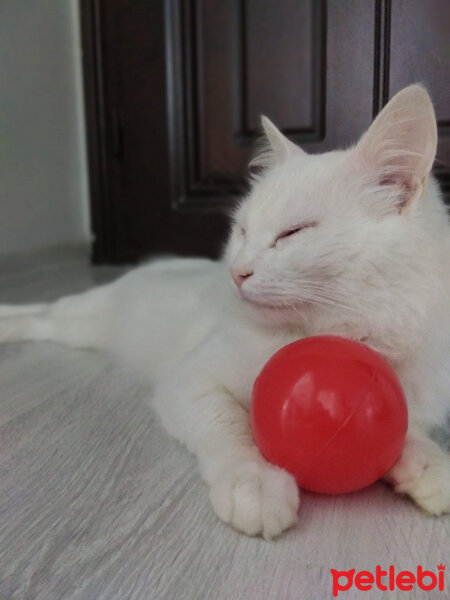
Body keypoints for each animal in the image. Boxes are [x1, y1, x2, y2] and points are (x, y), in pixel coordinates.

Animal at [0, 85, 448, 540]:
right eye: (242, 231)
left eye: (293, 233)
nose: (236, 272)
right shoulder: (190, 381)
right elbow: (228, 428)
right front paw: (252, 482)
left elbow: (407, 433)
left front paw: (428, 464)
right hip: (87, 319)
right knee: (45, 313)